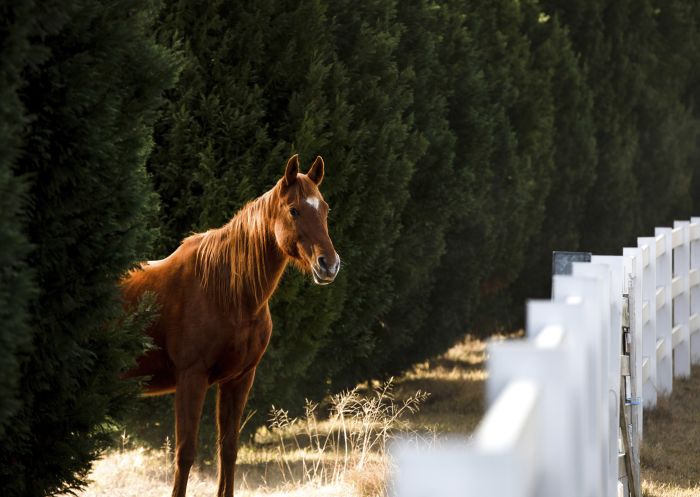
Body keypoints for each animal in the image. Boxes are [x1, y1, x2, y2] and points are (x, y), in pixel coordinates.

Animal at [121, 155, 340, 496]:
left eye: (325, 209)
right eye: (294, 210)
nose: (329, 265)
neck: (225, 291)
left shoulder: (238, 380)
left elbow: (229, 449)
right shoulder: (191, 379)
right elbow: (185, 453)